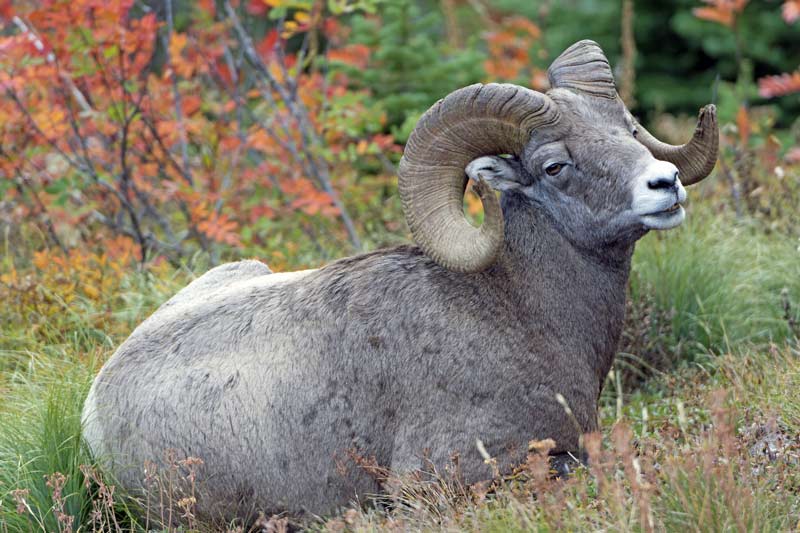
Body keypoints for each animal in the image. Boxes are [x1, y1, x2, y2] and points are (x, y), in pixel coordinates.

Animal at [81, 41, 720, 524]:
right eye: (555, 166)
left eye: (627, 128)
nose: (665, 183)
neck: (522, 310)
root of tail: (93, 414)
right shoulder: (447, 479)